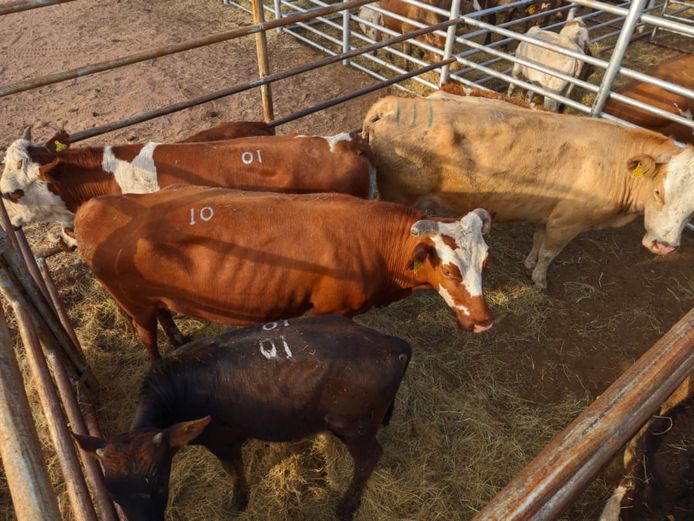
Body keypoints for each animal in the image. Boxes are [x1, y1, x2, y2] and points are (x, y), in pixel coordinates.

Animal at [73, 316, 412, 521]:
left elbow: (235, 473)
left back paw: (346, 506)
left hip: (355, 426)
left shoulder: (220, 439)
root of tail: (393, 344)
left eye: (158, 483)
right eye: (112, 494)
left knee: (370, 458)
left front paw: (237, 504)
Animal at [74, 186, 494, 360]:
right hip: (135, 304)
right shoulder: (332, 309)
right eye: (450, 270)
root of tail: (94, 207)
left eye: (485, 262)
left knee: (165, 315)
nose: (484, 322)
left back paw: (179, 339)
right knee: (146, 337)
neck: (372, 241)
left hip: (153, 298)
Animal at [362, 94, 694, 289]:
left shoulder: (549, 214)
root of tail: (395, 102)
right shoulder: (568, 222)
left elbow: (538, 240)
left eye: (692, 210)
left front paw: (530, 263)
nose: (664, 247)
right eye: (658, 192)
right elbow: (550, 251)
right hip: (398, 193)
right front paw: (539, 278)